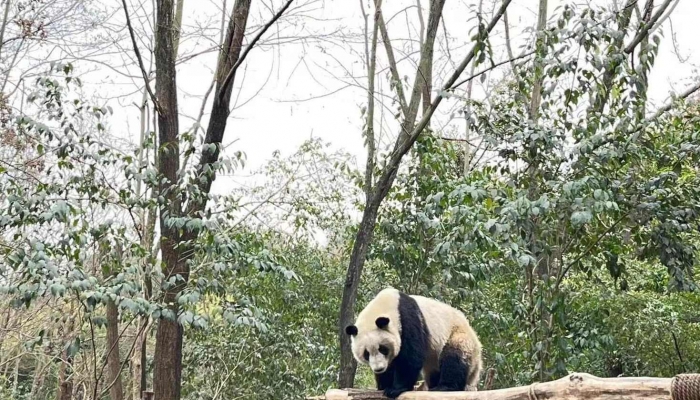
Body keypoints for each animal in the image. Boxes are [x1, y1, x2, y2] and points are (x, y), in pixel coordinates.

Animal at [344, 288, 482, 396]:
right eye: (366, 353)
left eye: (382, 349)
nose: (379, 369)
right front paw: (384, 384)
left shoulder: (408, 319)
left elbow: (411, 356)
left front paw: (395, 389)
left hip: (458, 335)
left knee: (455, 357)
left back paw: (445, 387)